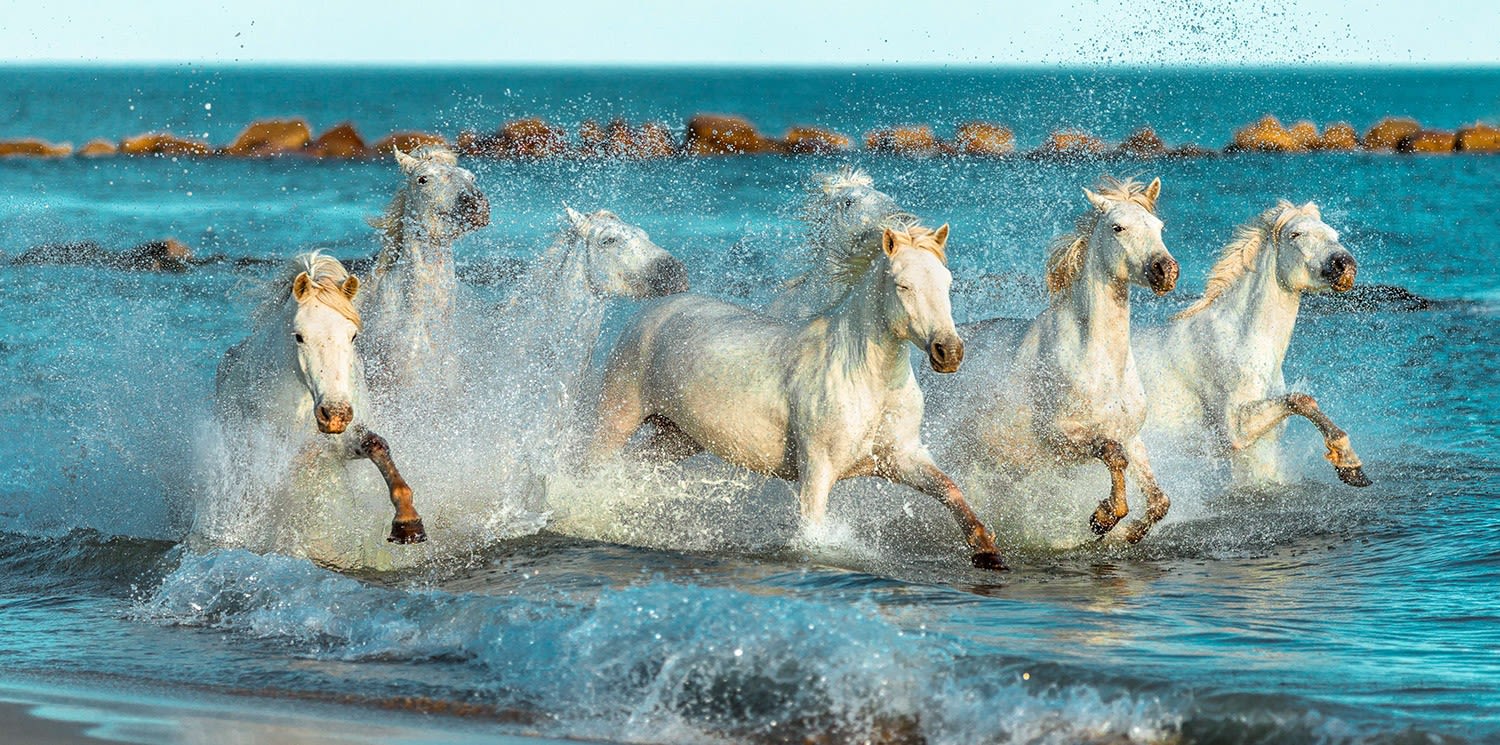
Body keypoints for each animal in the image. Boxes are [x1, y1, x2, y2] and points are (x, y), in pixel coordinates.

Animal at [211, 252, 427, 548]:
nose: (334, 414)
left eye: (352, 334)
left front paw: (408, 522)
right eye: (299, 336)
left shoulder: (341, 445)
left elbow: (377, 446)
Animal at [589, 222, 1006, 570]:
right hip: (619, 415)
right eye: (903, 285)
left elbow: (949, 489)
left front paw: (986, 550)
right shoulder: (818, 470)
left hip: (678, 437)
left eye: (946, 282)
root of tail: (655, 310)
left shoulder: (902, 457)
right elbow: (813, 531)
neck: (869, 384)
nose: (948, 352)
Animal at [930, 177, 1179, 544]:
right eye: (1118, 227)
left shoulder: (1131, 435)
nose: (1166, 271)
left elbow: (1159, 500)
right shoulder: (1060, 436)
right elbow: (1112, 455)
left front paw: (1124, 531)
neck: (1099, 363)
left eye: (1159, 227)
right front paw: (1104, 518)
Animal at [1133, 200, 1370, 487]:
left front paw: (1352, 466)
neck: (1239, 339)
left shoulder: (1261, 441)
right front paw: (1349, 463)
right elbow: (1303, 400)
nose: (1344, 265)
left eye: (1333, 234)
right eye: (1296, 234)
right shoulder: (1236, 428)